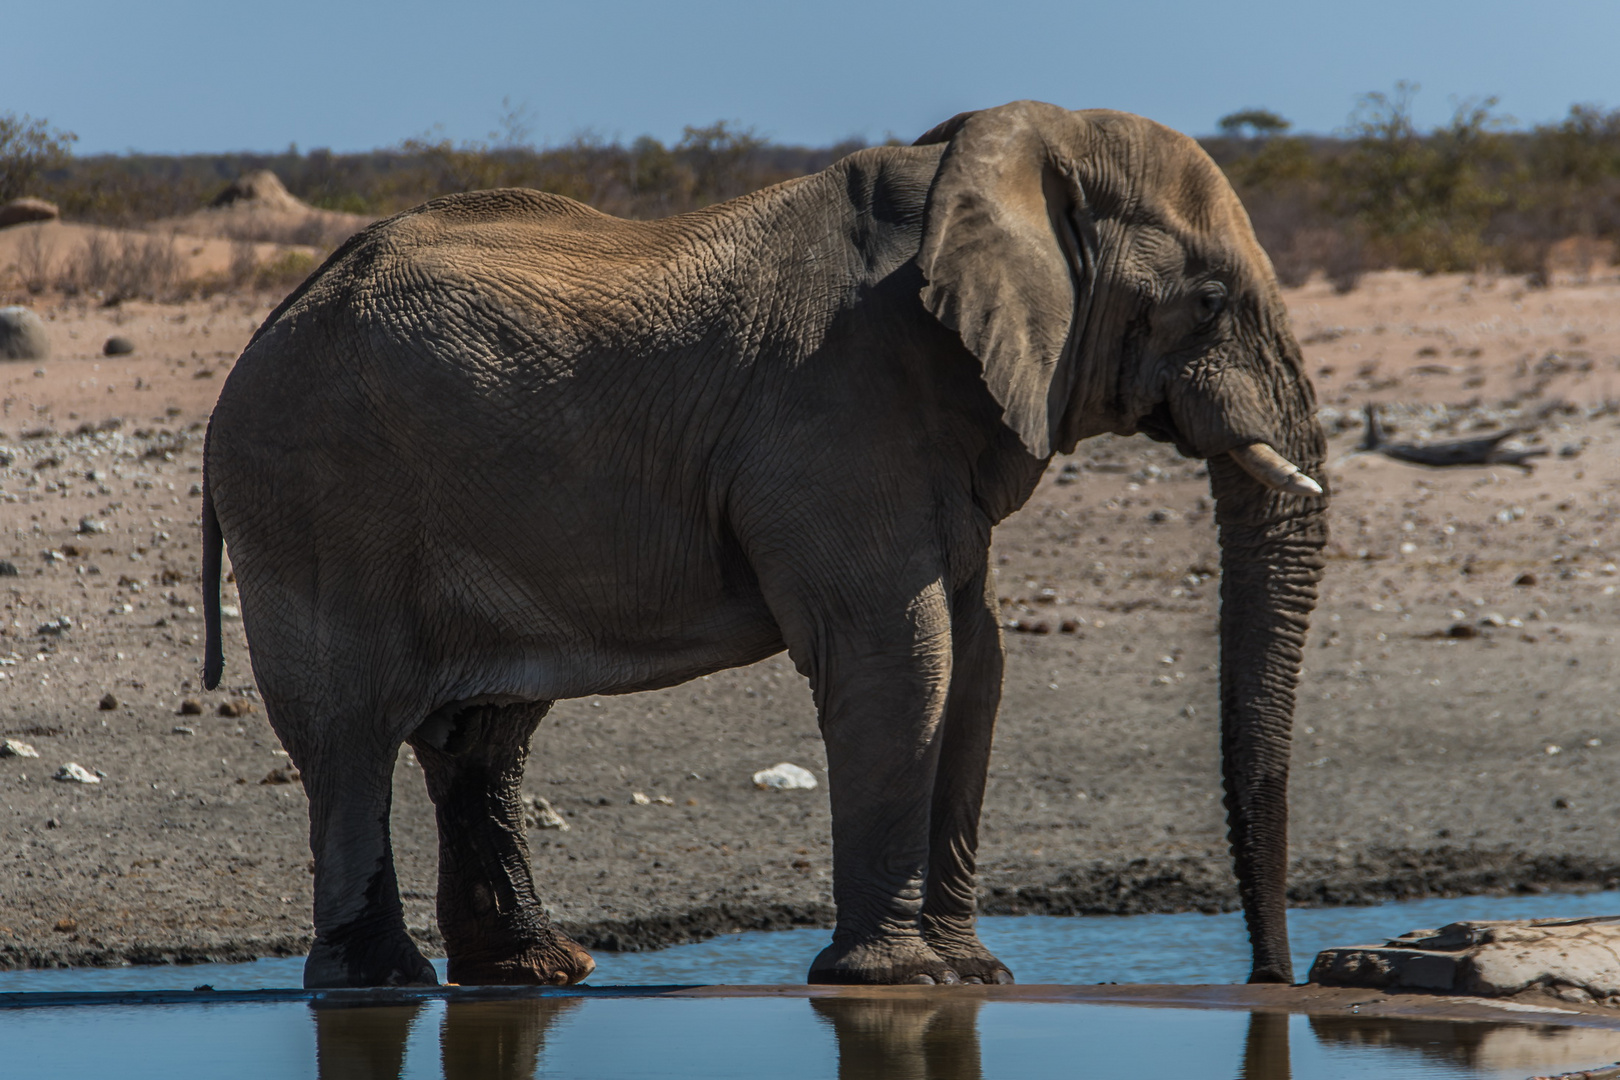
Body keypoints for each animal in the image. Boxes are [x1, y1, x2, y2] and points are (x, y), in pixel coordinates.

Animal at [202, 99, 1321, 990]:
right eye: (1210, 301)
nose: (1274, 979)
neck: (982, 164)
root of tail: (262, 334)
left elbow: (977, 663)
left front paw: (974, 975)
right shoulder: (837, 415)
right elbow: (900, 656)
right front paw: (897, 979)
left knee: (482, 739)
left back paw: (536, 970)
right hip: (315, 502)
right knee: (349, 736)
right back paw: (379, 984)